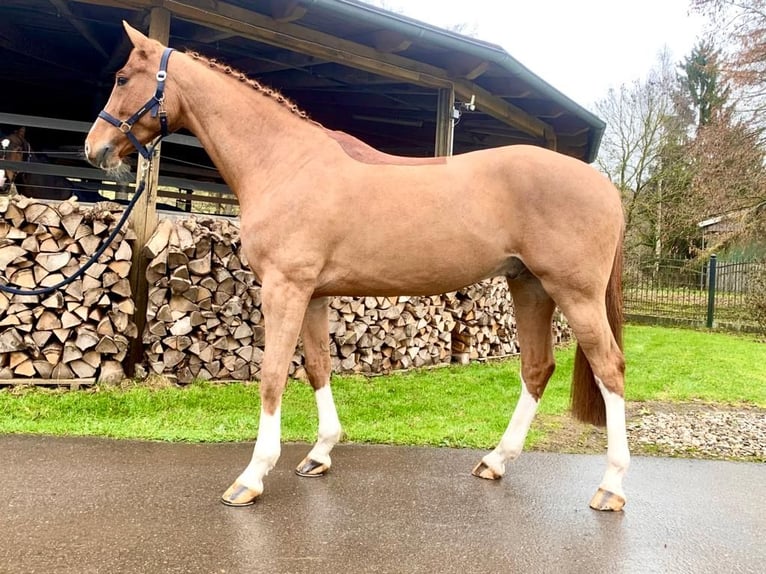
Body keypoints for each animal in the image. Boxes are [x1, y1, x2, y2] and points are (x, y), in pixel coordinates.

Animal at [85, 22, 629, 512]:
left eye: (122, 78)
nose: (94, 148)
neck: (284, 164)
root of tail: (604, 185)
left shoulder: (285, 289)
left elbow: (272, 375)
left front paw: (252, 476)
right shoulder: (313, 295)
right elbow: (318, 367)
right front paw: (320, 453)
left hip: (573, 293)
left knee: (610, 368)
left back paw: (610, 487)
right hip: (530, 286)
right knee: (537, 367)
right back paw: (495, 461)